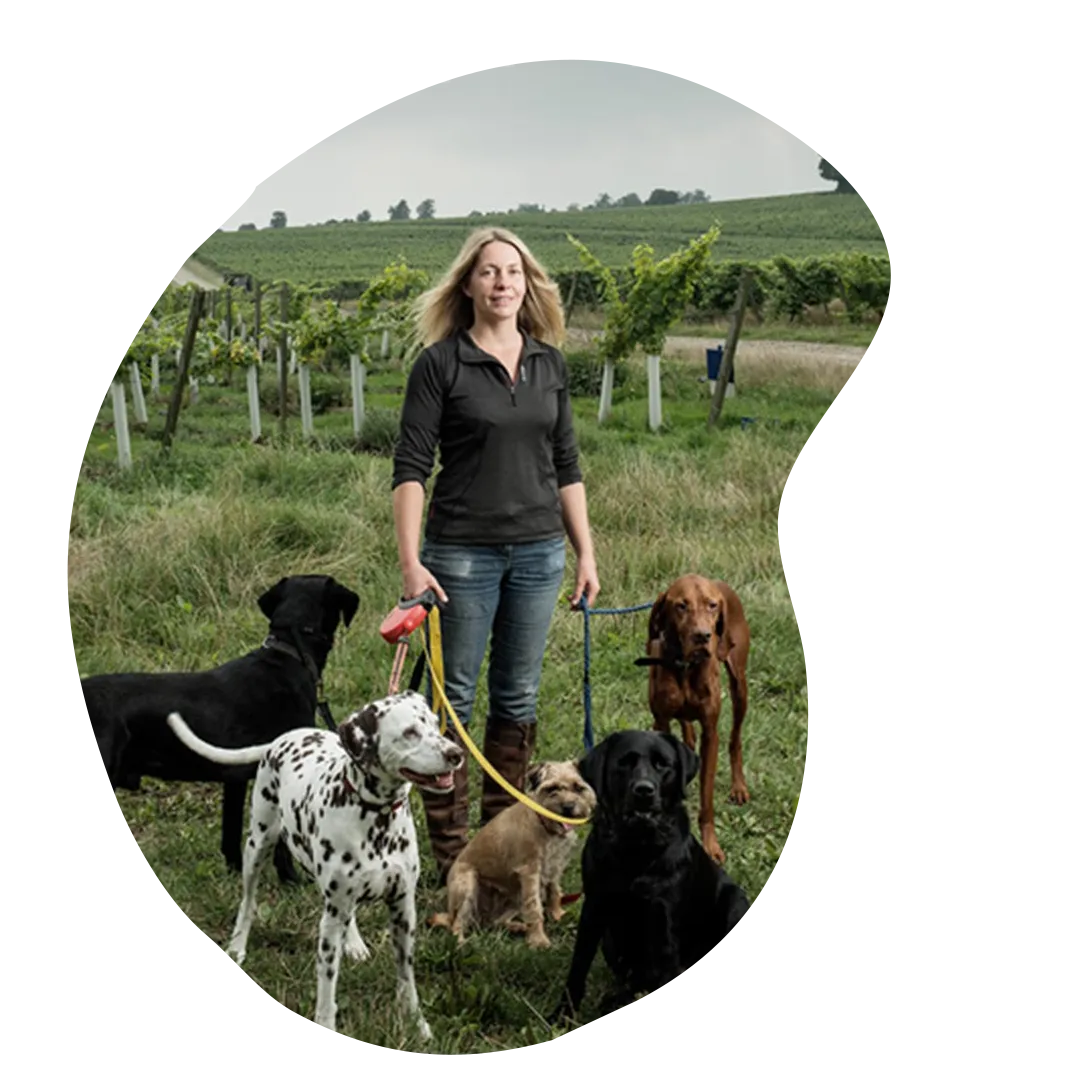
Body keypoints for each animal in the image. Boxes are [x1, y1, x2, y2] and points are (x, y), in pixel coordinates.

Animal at [548, 725, 751, 1019]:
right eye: (624, 763)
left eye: (662, 764)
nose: (644, 790)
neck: (637, 851)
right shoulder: (594, 908)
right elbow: (578, 967)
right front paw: (562, 1015)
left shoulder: (664, 921)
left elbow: (664, 981)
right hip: (611, 940)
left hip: (737, 904)